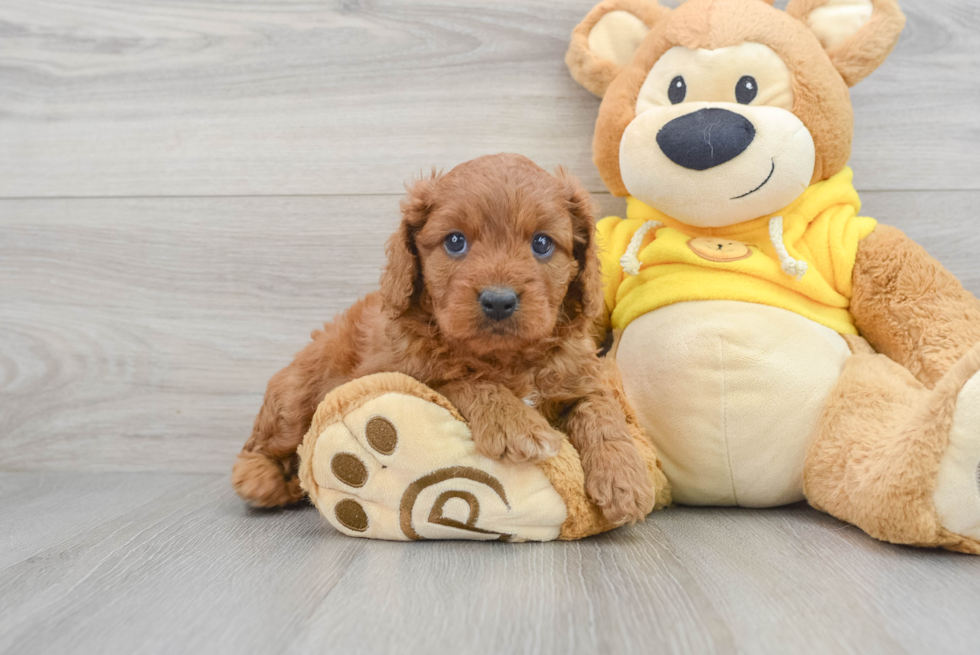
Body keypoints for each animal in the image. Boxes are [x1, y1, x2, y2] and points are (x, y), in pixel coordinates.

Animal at [233, 151, 656, 524]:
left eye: (542, 243)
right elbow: (464, 379)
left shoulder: (580, 374)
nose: (498, 301)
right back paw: (265, 480)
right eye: (455, 241)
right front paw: (516, 425)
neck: (506, 357)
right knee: (262, 444)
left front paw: (626, 480)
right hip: (296, 396)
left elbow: (601, 411)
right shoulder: (406, 372)